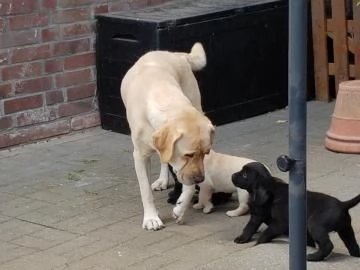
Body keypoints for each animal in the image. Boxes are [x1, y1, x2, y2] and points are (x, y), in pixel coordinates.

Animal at [122, 42, 215, 230]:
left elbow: (187, 185)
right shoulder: (140, 156)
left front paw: (181, 208)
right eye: (189, 154)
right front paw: (151, 218)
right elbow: (145, 191)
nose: (201, 179)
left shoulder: (186, 167)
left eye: (206, 153)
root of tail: (175, 54)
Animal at [231, 162, 360, 262]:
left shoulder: (278, 223)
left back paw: (314, 257)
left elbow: (261, 231)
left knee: (328, 245)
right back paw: (356, 255)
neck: (272, 189)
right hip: (345, 229)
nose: (232, 175)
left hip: (315, 224)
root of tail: (342, 204)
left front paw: (255, 242)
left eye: (244, 175)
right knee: (352, 244)